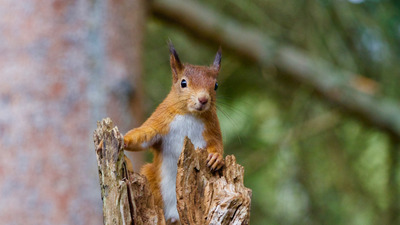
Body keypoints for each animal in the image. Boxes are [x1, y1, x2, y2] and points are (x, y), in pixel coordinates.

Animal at [124, 42, 225, 223]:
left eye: (216, 85)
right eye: (183, 83)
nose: (203, 99)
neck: (190, 114)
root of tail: (173, 215)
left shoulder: (212, 129)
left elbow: (217, 143)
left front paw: (216, 158)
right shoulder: (160, 121)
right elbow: (143, 135)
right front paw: (123, 140)